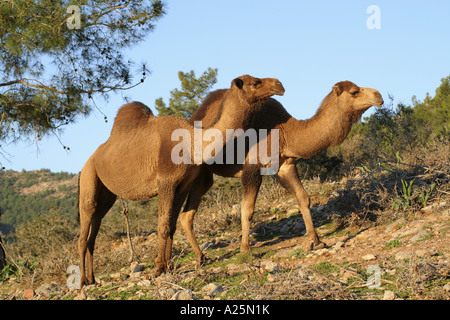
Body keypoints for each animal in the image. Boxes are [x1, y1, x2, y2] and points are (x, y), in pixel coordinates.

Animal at [75, 75, 284, 284]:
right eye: (255, 82)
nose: (279, 84)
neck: (192, 142)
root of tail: (86, 163)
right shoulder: (165, 181)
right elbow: (163, 225)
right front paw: (159, 268)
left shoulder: (183, 184)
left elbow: (173, 225)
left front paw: (168, 266)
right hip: (88, 180)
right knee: (83, 233)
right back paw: (83, 281)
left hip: (106, 195)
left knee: (94, 231)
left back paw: (93, 279)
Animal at [179, 80, 384, 264]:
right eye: (354, 92)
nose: (378, 95)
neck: (285, 131)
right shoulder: (252, 167)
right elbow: (247, 209)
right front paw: (245, 249)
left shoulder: (285, 165)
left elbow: (303, 198)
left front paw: (315, 241)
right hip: (198, 170)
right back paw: (198, 258)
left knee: (186, 214)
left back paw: (200, 258)